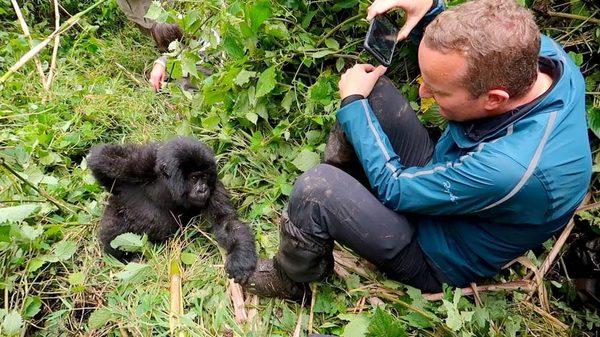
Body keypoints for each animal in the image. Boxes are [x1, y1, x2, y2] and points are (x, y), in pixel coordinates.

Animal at [88, 136, 256, 280]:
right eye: (194, 178)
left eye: (204, 177)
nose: (202, 190)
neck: (169, 187)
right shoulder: (143, 161)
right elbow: (101, 157)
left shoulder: (214, 188)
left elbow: (226, 222)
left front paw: (240, 255)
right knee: (114, 227)